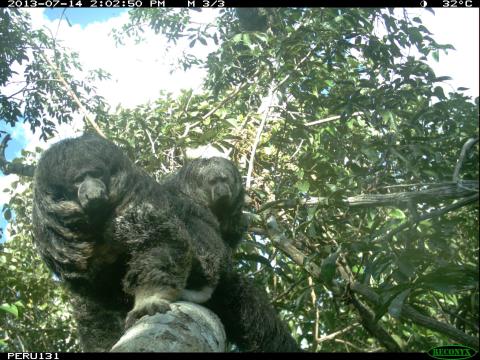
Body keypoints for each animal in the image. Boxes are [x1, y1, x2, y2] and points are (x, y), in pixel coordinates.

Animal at [31, 134, 298, 352]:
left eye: (96, 174)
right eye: (78, 180)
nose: (92, 188)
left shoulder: (133, 194)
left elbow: (160, 238)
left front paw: (149, 297)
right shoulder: (53, 233)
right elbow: (90, 289)